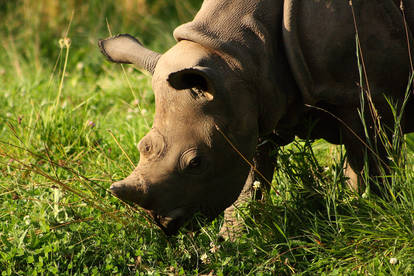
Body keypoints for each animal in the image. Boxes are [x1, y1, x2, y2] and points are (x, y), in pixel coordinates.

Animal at [99, 0, 414, 235]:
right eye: (143, 147)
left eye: (196, 163)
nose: (165, 224)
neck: (231, 56)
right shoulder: (252, 103)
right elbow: (250, 183)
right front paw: (230, 243)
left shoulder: (362, 94)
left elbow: (367, 167)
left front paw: (367, 218)